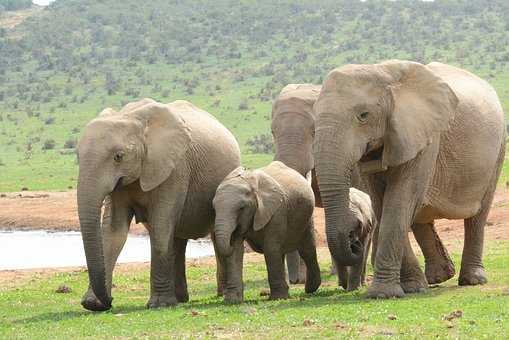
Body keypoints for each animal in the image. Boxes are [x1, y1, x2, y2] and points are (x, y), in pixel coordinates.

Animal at [77, 97, 240, 310]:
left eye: (118, 156)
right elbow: (113, 232)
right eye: (77, 157)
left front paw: (159, 304)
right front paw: (93, 304)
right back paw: (180, 298)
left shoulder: (174, 168)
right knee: (177, 241)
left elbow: (161, 226)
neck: (131, 117)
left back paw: (217, 295)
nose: (110, 302)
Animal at [212, 162, 320, 302]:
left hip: (307, 217)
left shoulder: (276, 212)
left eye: (241, 208)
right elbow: (236, 251)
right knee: (282, 252)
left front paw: (278, 298)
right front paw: (232, 300)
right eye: (214, 208)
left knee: (307, 250)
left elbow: (270, 249)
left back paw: (310, 289)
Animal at [314, 60, 504, 298]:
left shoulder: (425, 139)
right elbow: (383, 205)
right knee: (420, 215)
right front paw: (412, 288)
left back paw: (472, 280)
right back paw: (436, 279)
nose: (354, 240)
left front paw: (382, 294)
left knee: (477, 216)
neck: (382, 71)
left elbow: (398, 202)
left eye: (363, 115)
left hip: (498, 150)